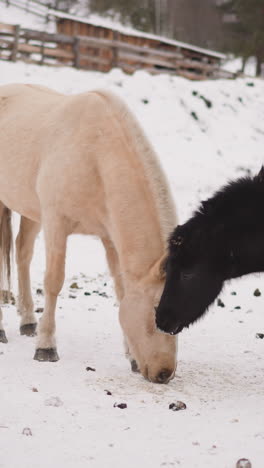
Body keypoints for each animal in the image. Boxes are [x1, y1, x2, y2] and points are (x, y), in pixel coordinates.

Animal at [0, 84, 177, 384]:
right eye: (156, 309)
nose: (164, 373)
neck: (95, 154)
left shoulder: (109, 238)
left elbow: (120, 290)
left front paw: (131, 357)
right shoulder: (56, 223)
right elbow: (54, 282)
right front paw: (46, 347)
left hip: (30, 210)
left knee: (22, 254)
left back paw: (27, 320)